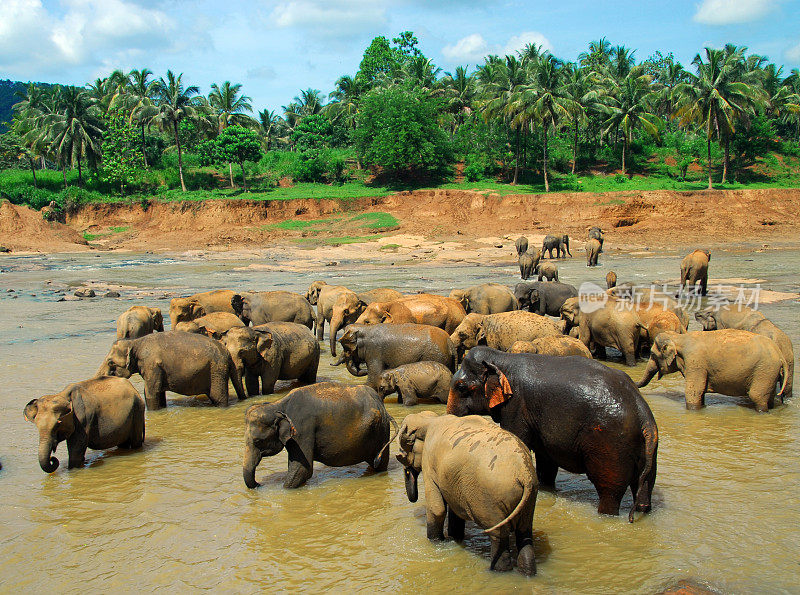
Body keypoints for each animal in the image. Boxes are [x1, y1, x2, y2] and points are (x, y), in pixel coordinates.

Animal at [95, 330, 244, 410]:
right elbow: (159, 393)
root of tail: (227, 352)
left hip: (217, 369)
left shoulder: (151, 365)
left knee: (218, 397)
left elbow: (151, 392)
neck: (135, 342)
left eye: (110, 362)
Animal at [242, 382, 396, 488]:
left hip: (381, 432)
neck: (278, 405)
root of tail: (381, 405)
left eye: (258, 441)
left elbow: (302, 469)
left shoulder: (302, 430)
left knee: (380, 464)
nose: (259, 484)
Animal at [396, 412, 536, 576]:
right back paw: (527, 573)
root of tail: (524, 473)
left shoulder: (429, 461)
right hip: (530, 499)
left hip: (491, 499)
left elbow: (437, 509)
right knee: (525, 535)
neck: (429, 420)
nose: (407, 469)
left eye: (402, 452)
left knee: (498, 536)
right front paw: (453, 538)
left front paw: (437, 543)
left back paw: (496, 572)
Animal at [446, 346, 660, 524]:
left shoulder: (516, 407)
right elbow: (546, 462)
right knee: (644, 488)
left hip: (610, 445)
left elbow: (519, 440)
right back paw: (643, 510)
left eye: (461, 387)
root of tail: (642, 412)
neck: (501, 358)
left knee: (610, 491)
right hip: (646, 447)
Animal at [636, 328, 788, 412]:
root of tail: (781, 356)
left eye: (652, 354)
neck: (679, 337)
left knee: (757, 396)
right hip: (769, 373)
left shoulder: (696, 362)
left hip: (765, 370)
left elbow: (693, 391)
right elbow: (700, 392)